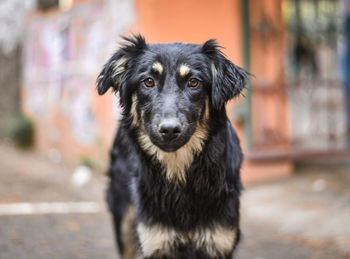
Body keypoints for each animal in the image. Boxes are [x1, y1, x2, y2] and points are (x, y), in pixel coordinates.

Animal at [97, 35, 247, 259]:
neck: (179, 174)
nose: (169, 130)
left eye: (194, 82)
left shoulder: (219, 241)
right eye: (148, 81)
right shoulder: (155, 240)